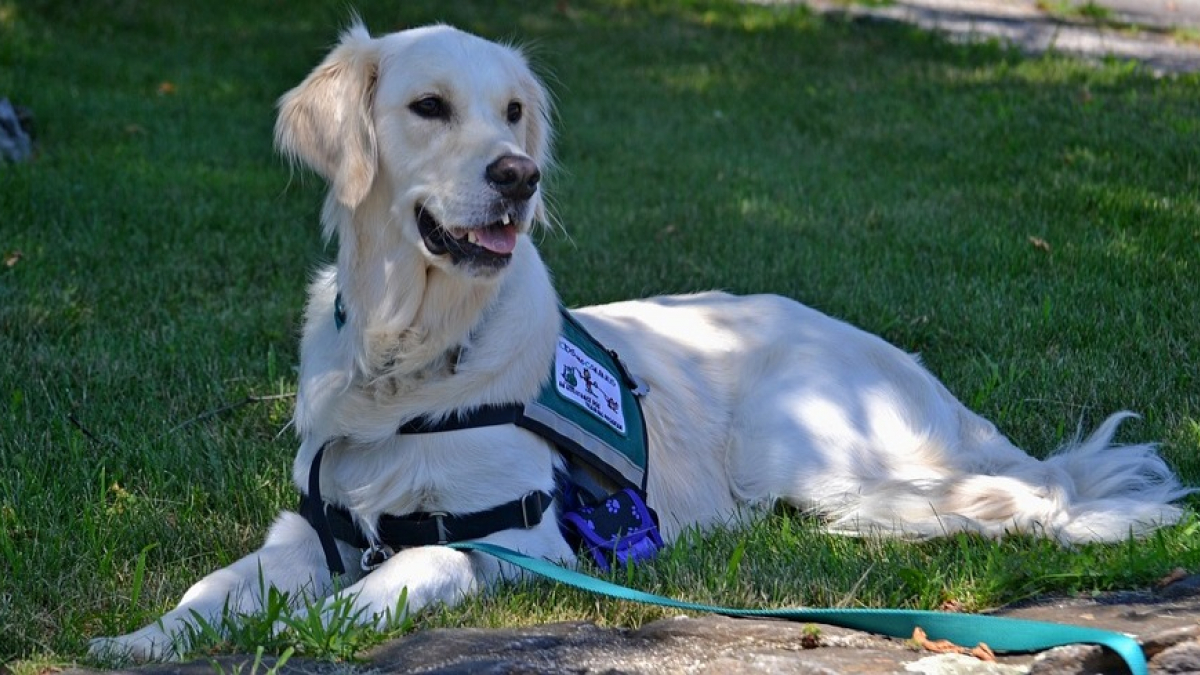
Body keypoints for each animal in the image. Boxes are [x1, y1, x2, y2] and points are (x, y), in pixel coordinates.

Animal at [87, 21, 1190, 658]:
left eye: (513, 110)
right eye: (428, 107)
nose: (518, 175)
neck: (411, 356)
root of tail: (910, 367)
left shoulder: (517, 535)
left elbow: (409, 572)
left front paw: (324, 624)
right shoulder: (311, 523)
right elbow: (211, 586)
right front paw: (141, 638)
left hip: (809, 447)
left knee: (1016, 499)